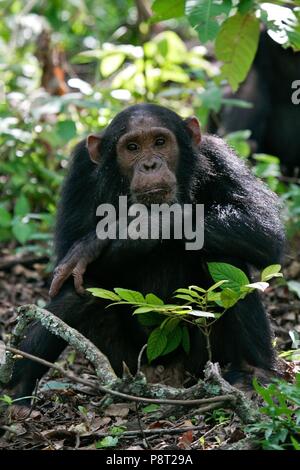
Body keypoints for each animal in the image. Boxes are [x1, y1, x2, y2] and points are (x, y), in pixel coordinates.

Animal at [2, 103, 284, 400]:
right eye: (133, 147)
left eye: (160, 142)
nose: (150, 165)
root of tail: (163, 374)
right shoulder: (80, 170)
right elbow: (66, 256)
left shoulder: (221, 157)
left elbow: (263, 227)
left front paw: (131, 228)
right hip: (123, 360)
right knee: (81, 288)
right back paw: (15, 388)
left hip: (200, 359)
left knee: (225, 257)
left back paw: (253, 373)